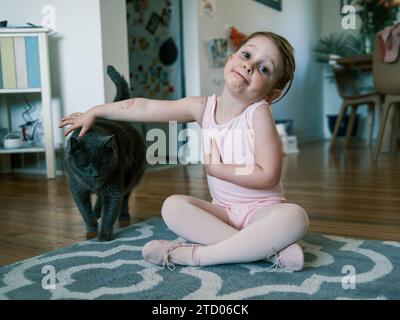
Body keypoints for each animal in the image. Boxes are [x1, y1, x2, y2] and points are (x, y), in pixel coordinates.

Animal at [65, 65, 146, 240]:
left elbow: (110, 212)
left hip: (131, 177)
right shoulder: (77, 187)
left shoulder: (113, 188)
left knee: (125, 197)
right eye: (84, 164)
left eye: (103, 162)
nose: (95, 174)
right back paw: (97, 213)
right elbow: (84, 210)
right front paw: (91, 228)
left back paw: (123, 216)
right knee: (99, 201)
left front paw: (104, 236)